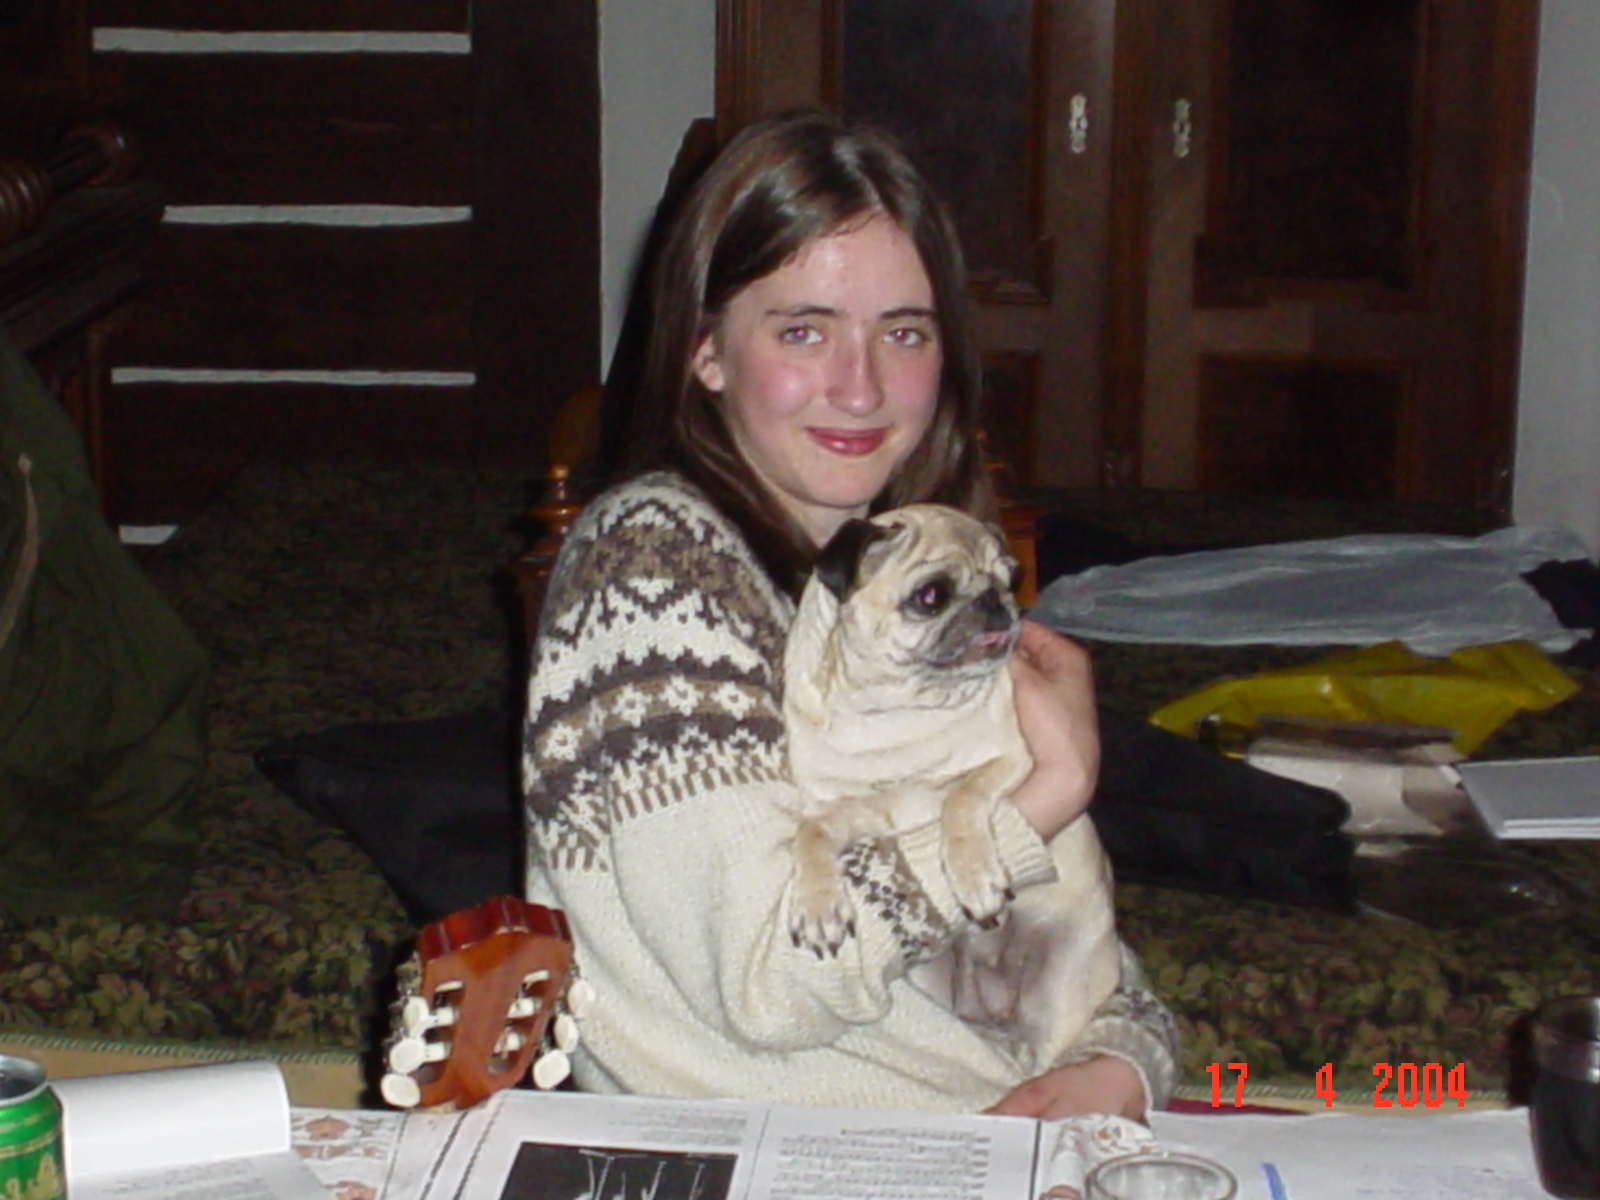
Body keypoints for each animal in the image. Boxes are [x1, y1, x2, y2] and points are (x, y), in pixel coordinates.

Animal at [780, 503, 1121, 1067]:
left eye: (1012, 577)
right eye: (931, 595)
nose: (996, 600)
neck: (892, 714)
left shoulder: (1014, 759)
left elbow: (962, 798)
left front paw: (974, 874)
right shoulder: (847, 810)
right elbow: (808, 833)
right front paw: (816, 901)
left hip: (1062, 985)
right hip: (933, 980)